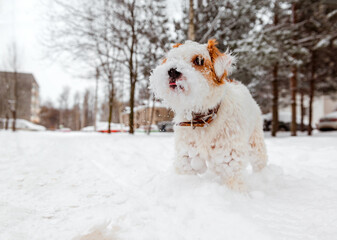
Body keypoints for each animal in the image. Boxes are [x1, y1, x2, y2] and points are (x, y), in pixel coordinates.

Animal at [148, 39, 266, 189]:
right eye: (172, 58)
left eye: (199, 60)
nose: (173, 71)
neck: (202, 119)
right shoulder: (186, 156)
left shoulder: (230, 158)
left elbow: (234, 183)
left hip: (256, 144)